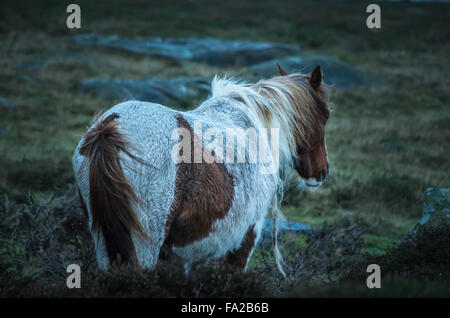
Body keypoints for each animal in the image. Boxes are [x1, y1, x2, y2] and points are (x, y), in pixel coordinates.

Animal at [73, 64, 330, 274]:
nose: (322, 172)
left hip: (104, 242)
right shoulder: (246, 237)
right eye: (326, 115)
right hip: (144, 247)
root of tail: (109, 129)